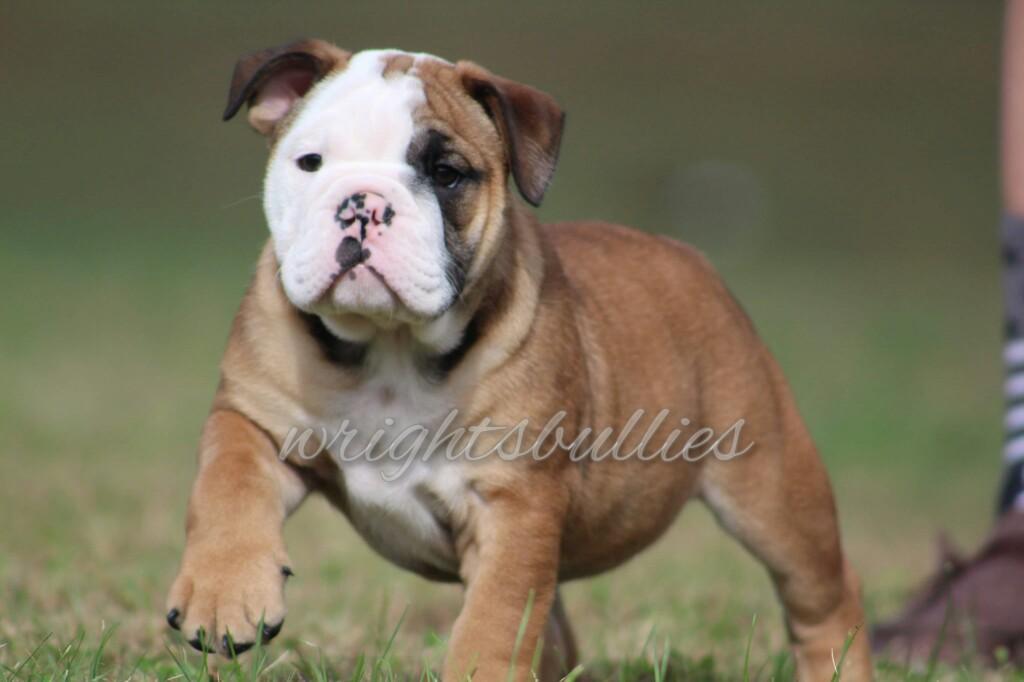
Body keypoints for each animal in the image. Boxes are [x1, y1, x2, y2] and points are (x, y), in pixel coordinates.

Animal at [165, 38, 872, 679]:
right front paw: (223, 593)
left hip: (773, 490)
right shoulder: (253, 419)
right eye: (309, 162)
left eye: (447, 174)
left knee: (825, 596)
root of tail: (690, 259)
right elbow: (226, 488)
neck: (391, 346)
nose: (362, 203)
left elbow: (498, 617)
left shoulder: (514, 503)